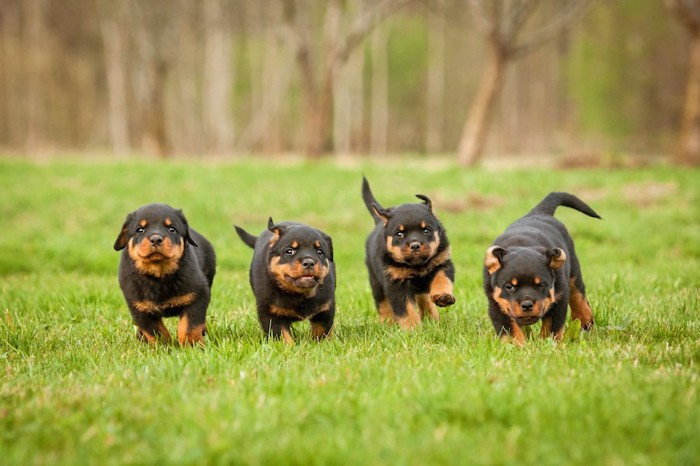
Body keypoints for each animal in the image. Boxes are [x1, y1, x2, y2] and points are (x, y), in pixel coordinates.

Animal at [113, 204, 216, 346]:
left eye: (172, 229)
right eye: (140, 230)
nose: (156, 239)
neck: (159, 276)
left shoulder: (198, 295)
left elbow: (189, 327)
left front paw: (192, 346)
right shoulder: (138, 307)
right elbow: (155, 331)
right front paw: (164, 347)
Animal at [364, 177, 456, 330]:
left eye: (426, 230)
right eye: (399, 234)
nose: (415, 245)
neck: (417, 265)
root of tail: (378, 222)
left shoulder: (442, 264)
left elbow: (441, 280)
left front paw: (443, 296)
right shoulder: (397, 283)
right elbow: (407, 309)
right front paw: (413, 329)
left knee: (424, 299)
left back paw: (432, 317)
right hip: (375, 283)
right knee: (383, 305)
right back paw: (388, 324)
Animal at [482, 191, 600, 344]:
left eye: (540, 285)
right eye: (509, 287)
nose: (527, 305)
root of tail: (539, 213)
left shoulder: (558, 299)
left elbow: (551, 327)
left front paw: (547, 344)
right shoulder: (497, 303)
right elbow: (510, 329)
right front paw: (517, 345)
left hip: (573, 271)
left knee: (578, 297)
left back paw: (586, 323)